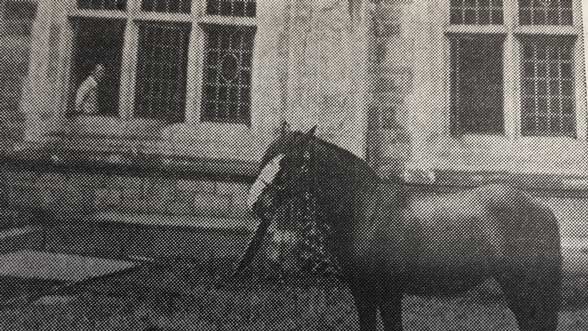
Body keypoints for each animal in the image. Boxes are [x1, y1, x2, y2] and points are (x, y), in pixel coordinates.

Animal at [232, 126, 564, 330]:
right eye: (267, 156)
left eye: (291, 162)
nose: (254, 202)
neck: (366, 211)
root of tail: (543, 209)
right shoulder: (364, 290)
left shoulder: (386, 290)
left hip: (523, 286)